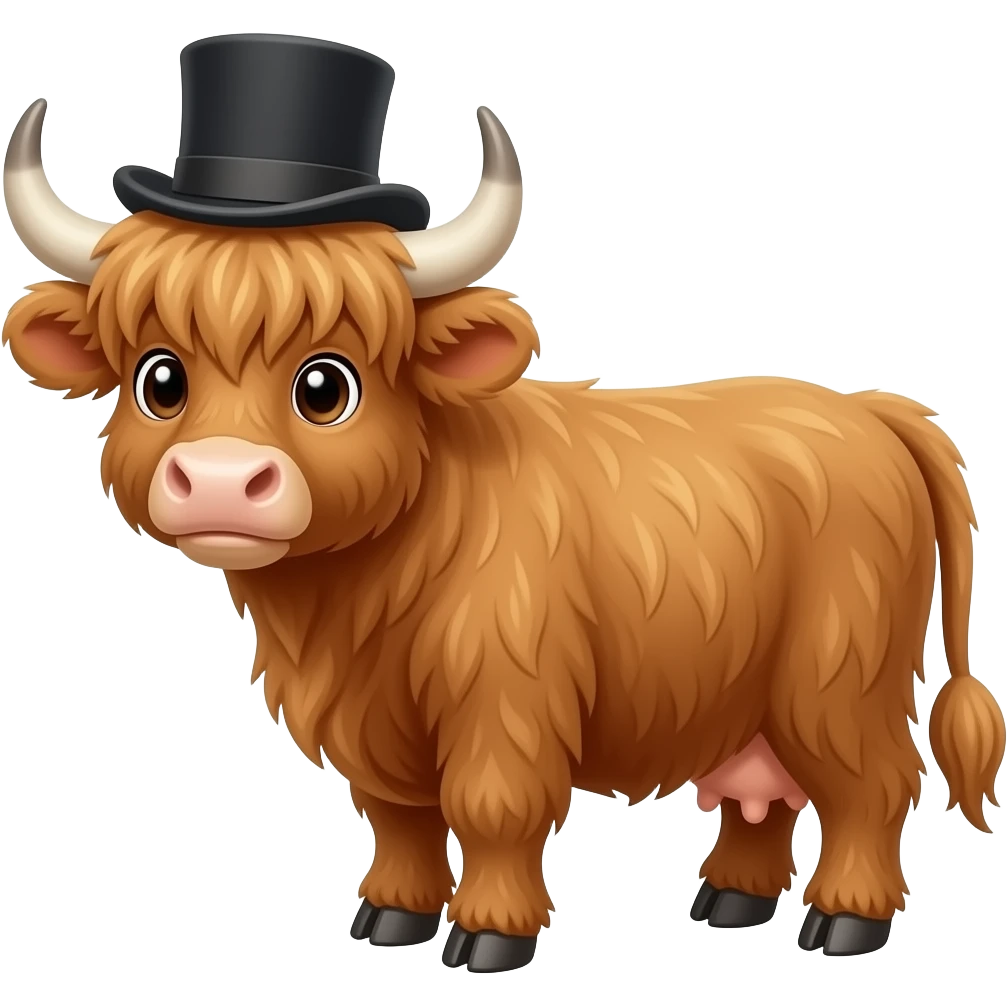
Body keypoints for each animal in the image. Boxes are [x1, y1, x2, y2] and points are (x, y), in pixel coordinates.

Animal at [3, 97, 1003, 973]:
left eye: (326, 385)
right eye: (159, 379)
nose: (219, 478)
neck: (353, 603)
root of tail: (869, 408)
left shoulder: (505, 695)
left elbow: (491, 806)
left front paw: (489, 934)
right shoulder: (372, 723)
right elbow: (398, 816)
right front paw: (391, 914)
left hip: (835, 676)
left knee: (873, 784)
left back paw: (844, 920)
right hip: (752, 695)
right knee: (764, 794)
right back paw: (730, 899)